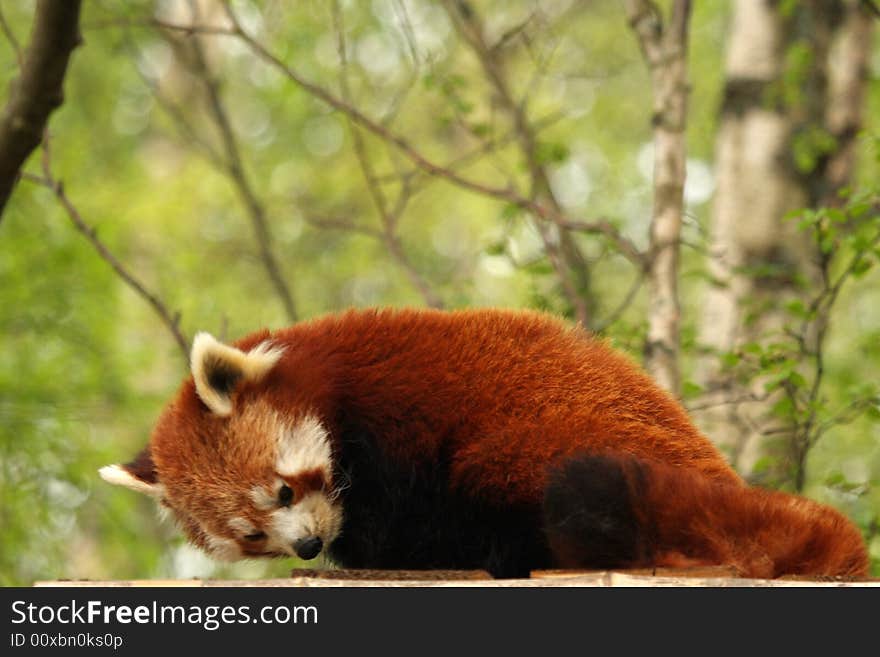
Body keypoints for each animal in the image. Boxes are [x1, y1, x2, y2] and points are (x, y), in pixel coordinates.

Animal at [99, 304, 868, 576]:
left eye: (285, 489)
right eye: (251, 535)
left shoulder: (400, 422)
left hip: (545, 445)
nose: (310, 544)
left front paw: (368, 550)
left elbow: (396, 517)